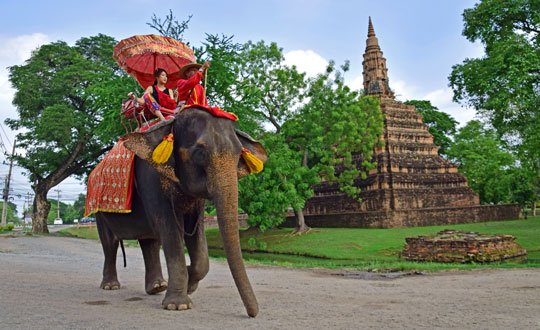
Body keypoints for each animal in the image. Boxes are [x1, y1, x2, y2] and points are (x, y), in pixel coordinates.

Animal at [96, 106, 268, 318]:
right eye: (200, 153)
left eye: (239, 154)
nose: (253, 314)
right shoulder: (151, 180)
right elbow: (170, 230)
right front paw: (178, 305)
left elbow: (196, 236)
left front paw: (189, 284)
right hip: (99, 211)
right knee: (110, 243)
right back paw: (110, 286)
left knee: (150, 243)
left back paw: (157, 287)